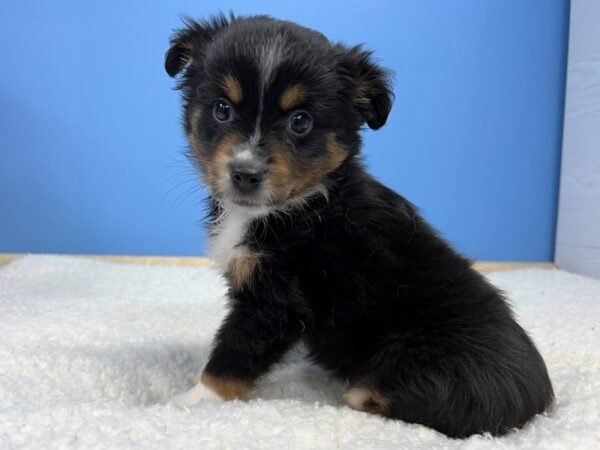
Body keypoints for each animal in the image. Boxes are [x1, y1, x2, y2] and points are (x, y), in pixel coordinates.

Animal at [164, 13, 552, 436]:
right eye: (222, 110)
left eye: (301, 121)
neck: (299, 205)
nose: (245, 173)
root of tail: (535, 406)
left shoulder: (275, 301)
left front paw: (189, 403)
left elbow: (232, 355)